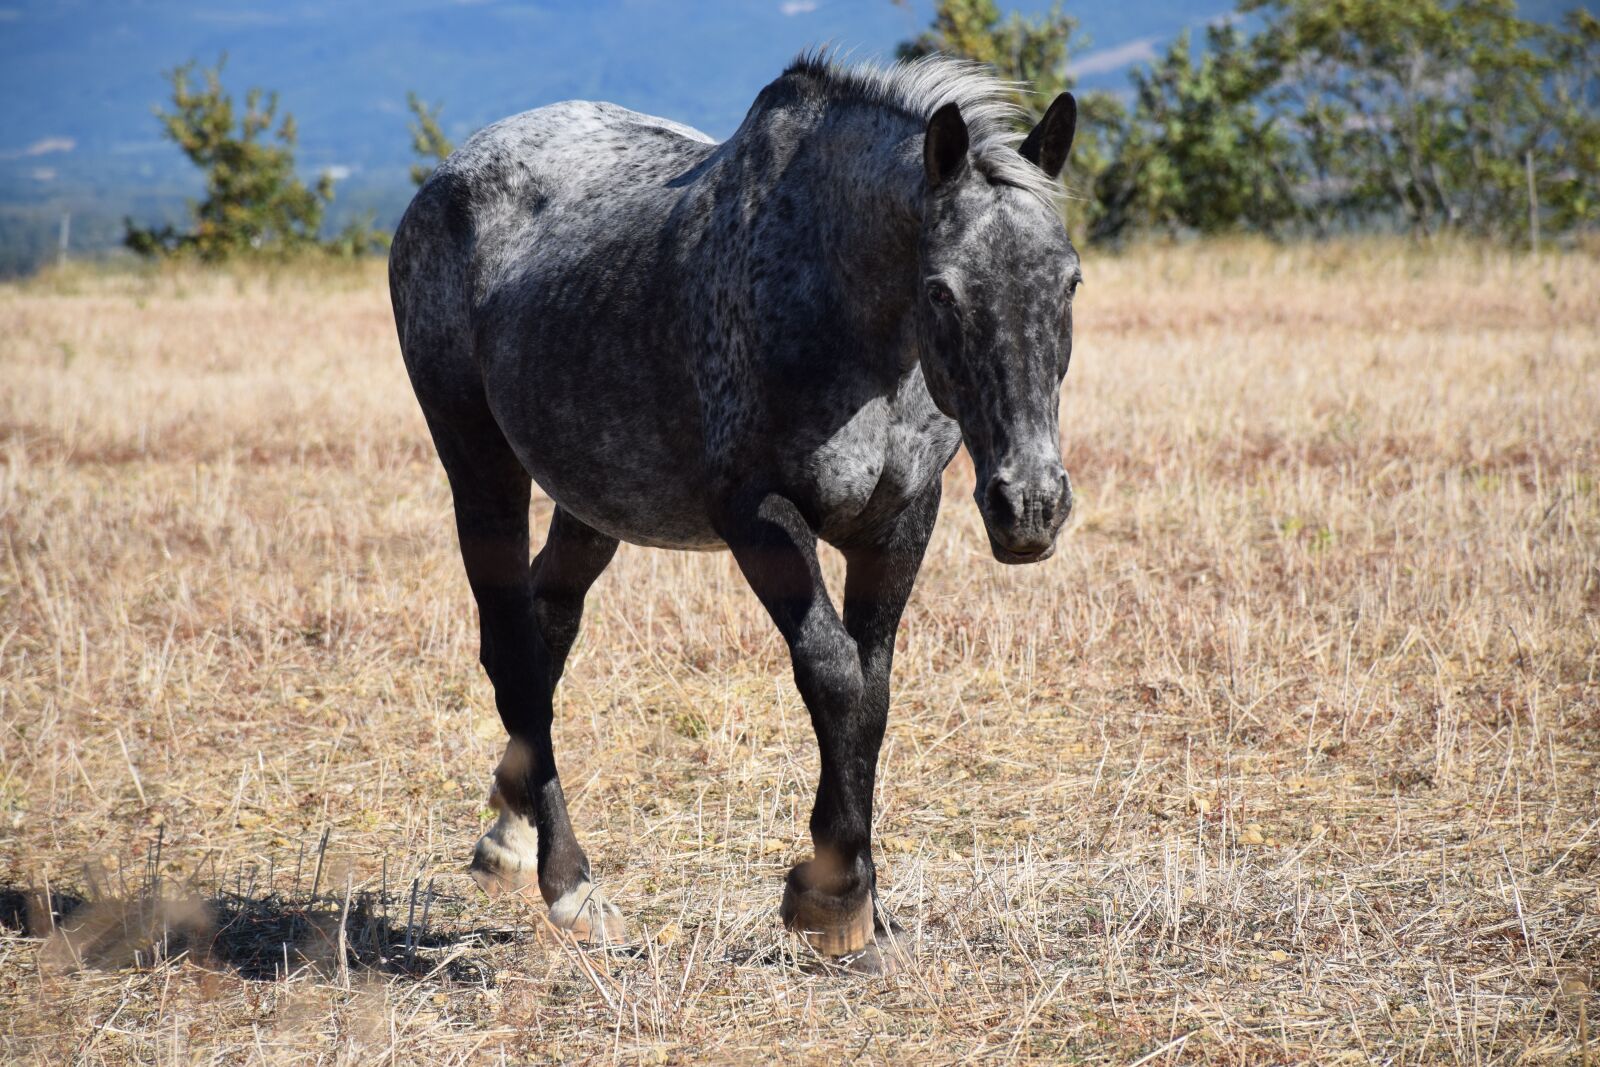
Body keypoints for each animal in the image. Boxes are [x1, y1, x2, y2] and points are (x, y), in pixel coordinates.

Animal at [388, 51, 1081, 973]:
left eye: (1070, 281)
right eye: (941, 291)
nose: (1029, 504)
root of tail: (445, 181)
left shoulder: (901, 520)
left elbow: (872, 691)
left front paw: (863, 904)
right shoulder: (759, 517)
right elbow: (832, 674)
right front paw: (834, 898)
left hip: (591, 504)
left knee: (546, 625)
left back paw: (509, 831)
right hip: (480, 466)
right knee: (512, 645)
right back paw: (570, 884)